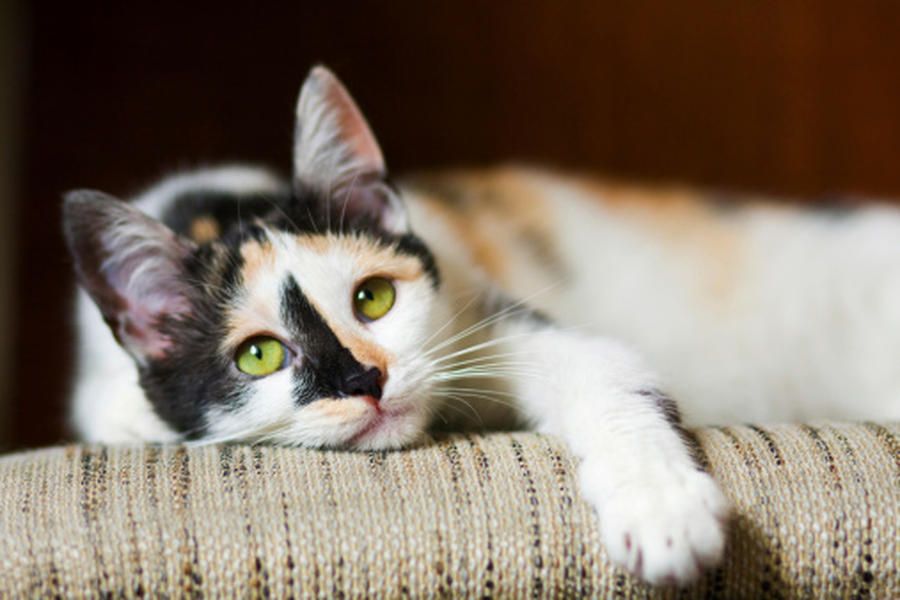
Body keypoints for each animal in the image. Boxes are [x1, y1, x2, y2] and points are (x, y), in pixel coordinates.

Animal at [65, 67, 900, 584]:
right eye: (262, 355)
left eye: (374, 298)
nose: (365, 379)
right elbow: (115, 407)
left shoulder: (485, 318)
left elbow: (604, 377)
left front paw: (660, 508)